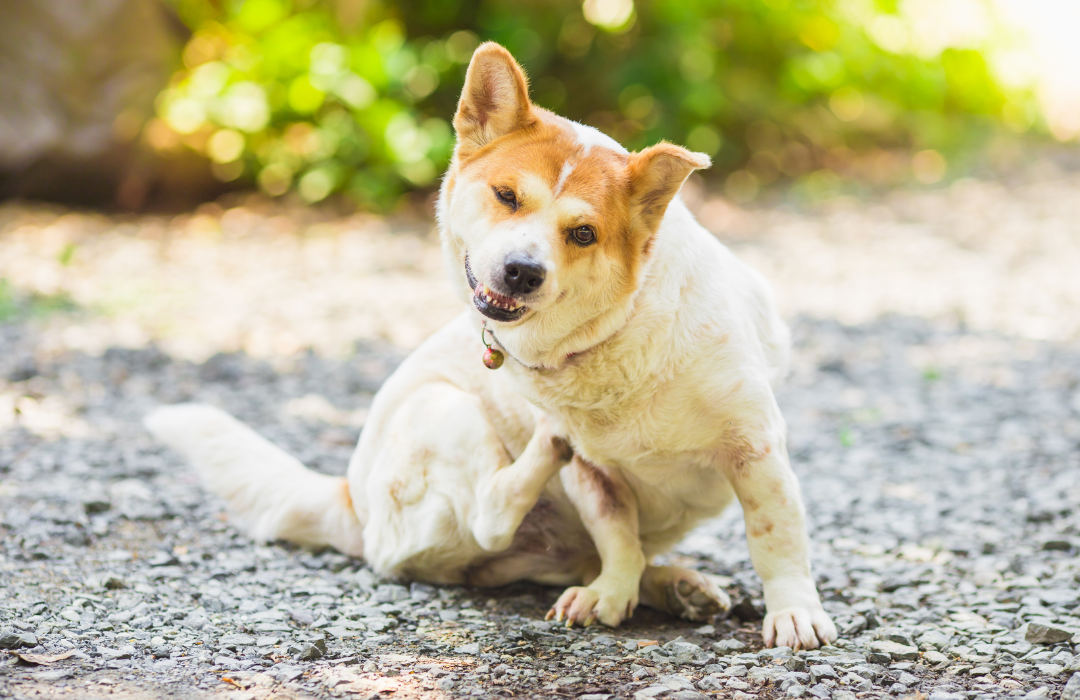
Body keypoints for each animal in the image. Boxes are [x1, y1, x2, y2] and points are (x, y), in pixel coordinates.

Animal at [145, 41, 833, 648]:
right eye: (507, 196)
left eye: (583, 233)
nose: (522, 271)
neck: (617, 333)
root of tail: (351, 501)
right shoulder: (594, 476)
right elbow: (617, 535)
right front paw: (612, 593)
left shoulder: (755, 448)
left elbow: (774, 536)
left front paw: (792, 613)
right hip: (445, 410)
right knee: (492, 514)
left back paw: (674, 586)